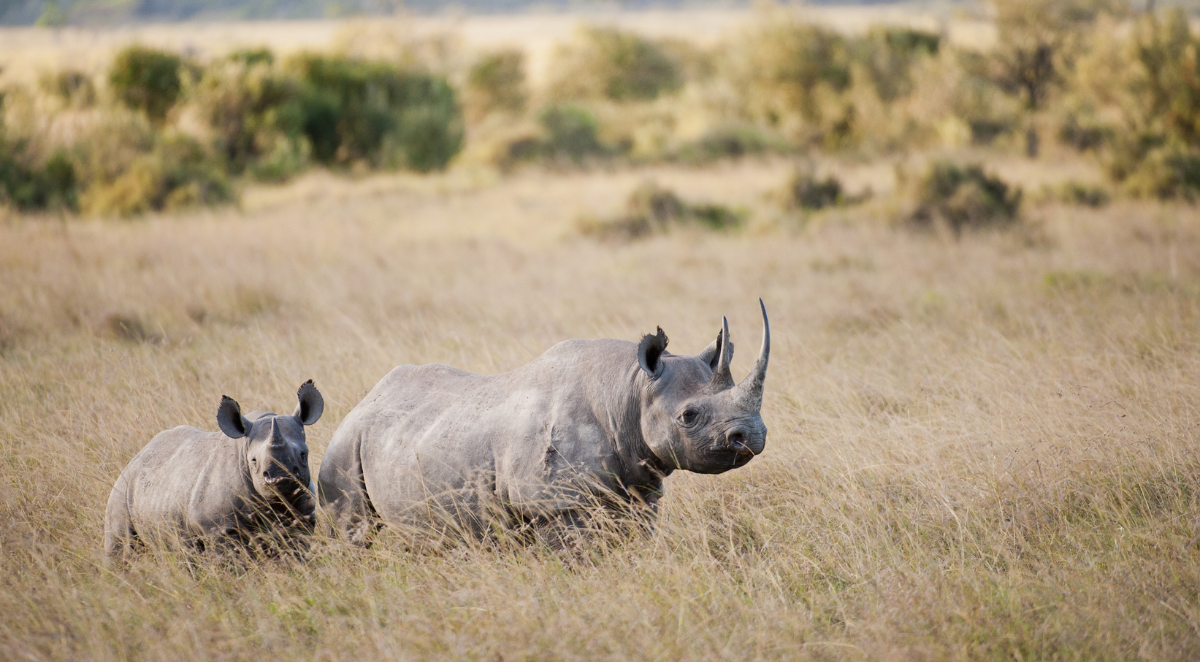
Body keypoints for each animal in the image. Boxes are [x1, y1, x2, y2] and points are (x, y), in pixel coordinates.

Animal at [104, 381, 324, 561]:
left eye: (303, 454)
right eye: (253, 461)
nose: (280, 479)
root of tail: (137, 455)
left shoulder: (303, 518)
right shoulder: (217, 528)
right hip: (122, 490)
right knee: (122, 548)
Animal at [319, 302, 770, 544]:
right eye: (688, 417)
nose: (753, 436)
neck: (629, 390)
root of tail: (362, 402)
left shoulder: (639, 488)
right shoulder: (553, 500)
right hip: (344, 446)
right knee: (354, 530)